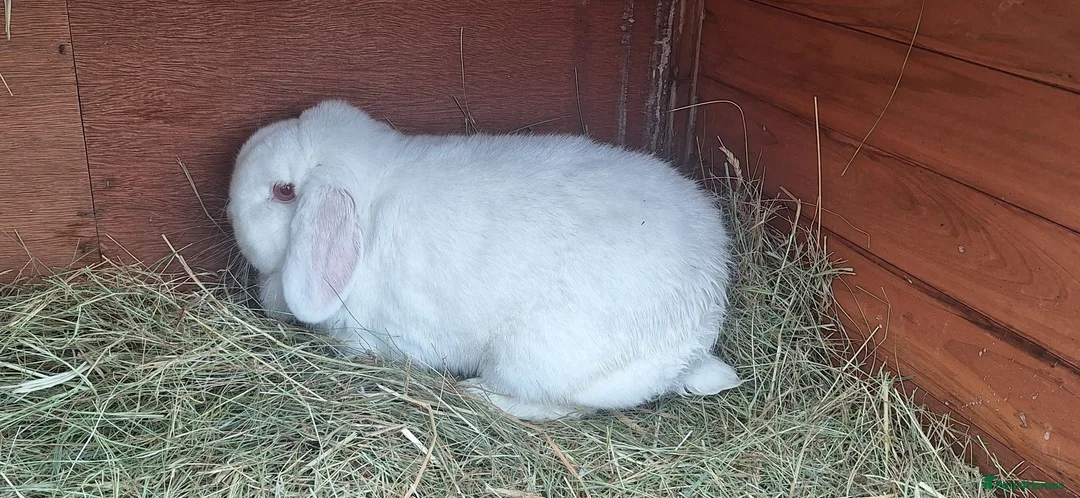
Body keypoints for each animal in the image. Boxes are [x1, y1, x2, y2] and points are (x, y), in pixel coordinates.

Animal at [226, 99, 743, 421]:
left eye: (283, 191)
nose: (229, 207)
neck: (367, 209)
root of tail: (694, 335)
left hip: (532, 357)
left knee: (562, 406)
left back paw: (477, 393)